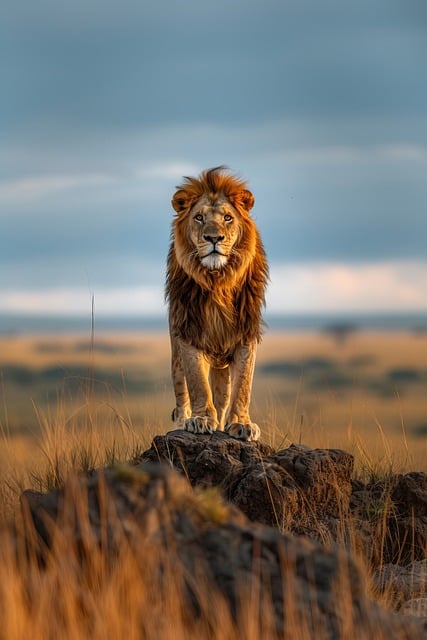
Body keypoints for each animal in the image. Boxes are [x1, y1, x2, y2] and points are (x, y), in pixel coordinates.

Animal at [166, 166, 268, 441]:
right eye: (199, 217)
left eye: (228, 218)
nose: (214, 238)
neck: (217, 281)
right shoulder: (188, 332)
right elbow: (197, 383)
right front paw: (200, 420)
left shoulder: (245, 334)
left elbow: (243, 385)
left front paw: (242, 424)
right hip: (175, 352)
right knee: (181, 394)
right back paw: (182, 420)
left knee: (223, 397)